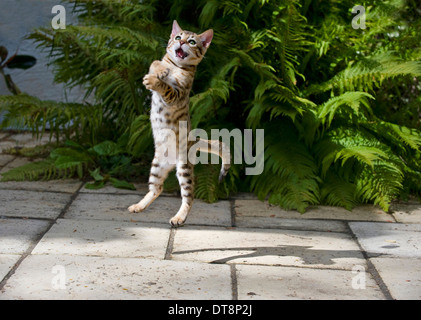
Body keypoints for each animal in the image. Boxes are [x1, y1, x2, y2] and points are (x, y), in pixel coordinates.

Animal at [128, 20, 230, 226]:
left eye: (192, 41)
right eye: (177, 37)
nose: (181, 42)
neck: (177, 66)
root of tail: (192, 141)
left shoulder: (178, 94)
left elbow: (166, 87)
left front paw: (157, 80)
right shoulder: (160, 64)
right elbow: (156, 62)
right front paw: (160, 70)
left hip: (184, 167)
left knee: (189, 197)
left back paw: (179, 217)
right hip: (157, 167)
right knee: (156, 189)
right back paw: (139, 206)